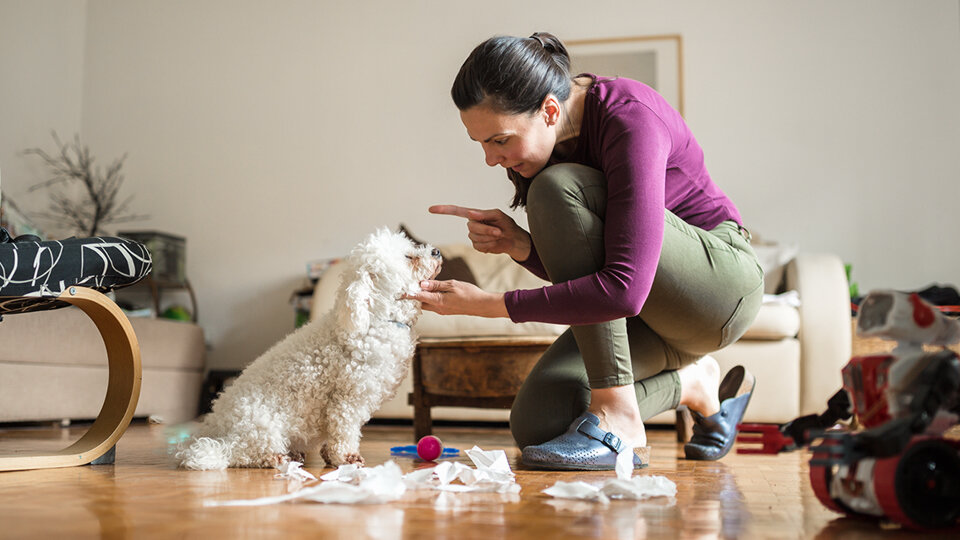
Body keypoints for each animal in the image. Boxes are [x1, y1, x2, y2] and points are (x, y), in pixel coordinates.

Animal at [178, 227, 440, 468]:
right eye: (409, 257)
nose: (436, 251)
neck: (375, 319)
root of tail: (214, 431)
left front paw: (329, 455)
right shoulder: (347, 398)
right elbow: (344, 429)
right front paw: (345, 457)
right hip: (259, 424)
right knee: (240, 454)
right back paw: (276, 457)